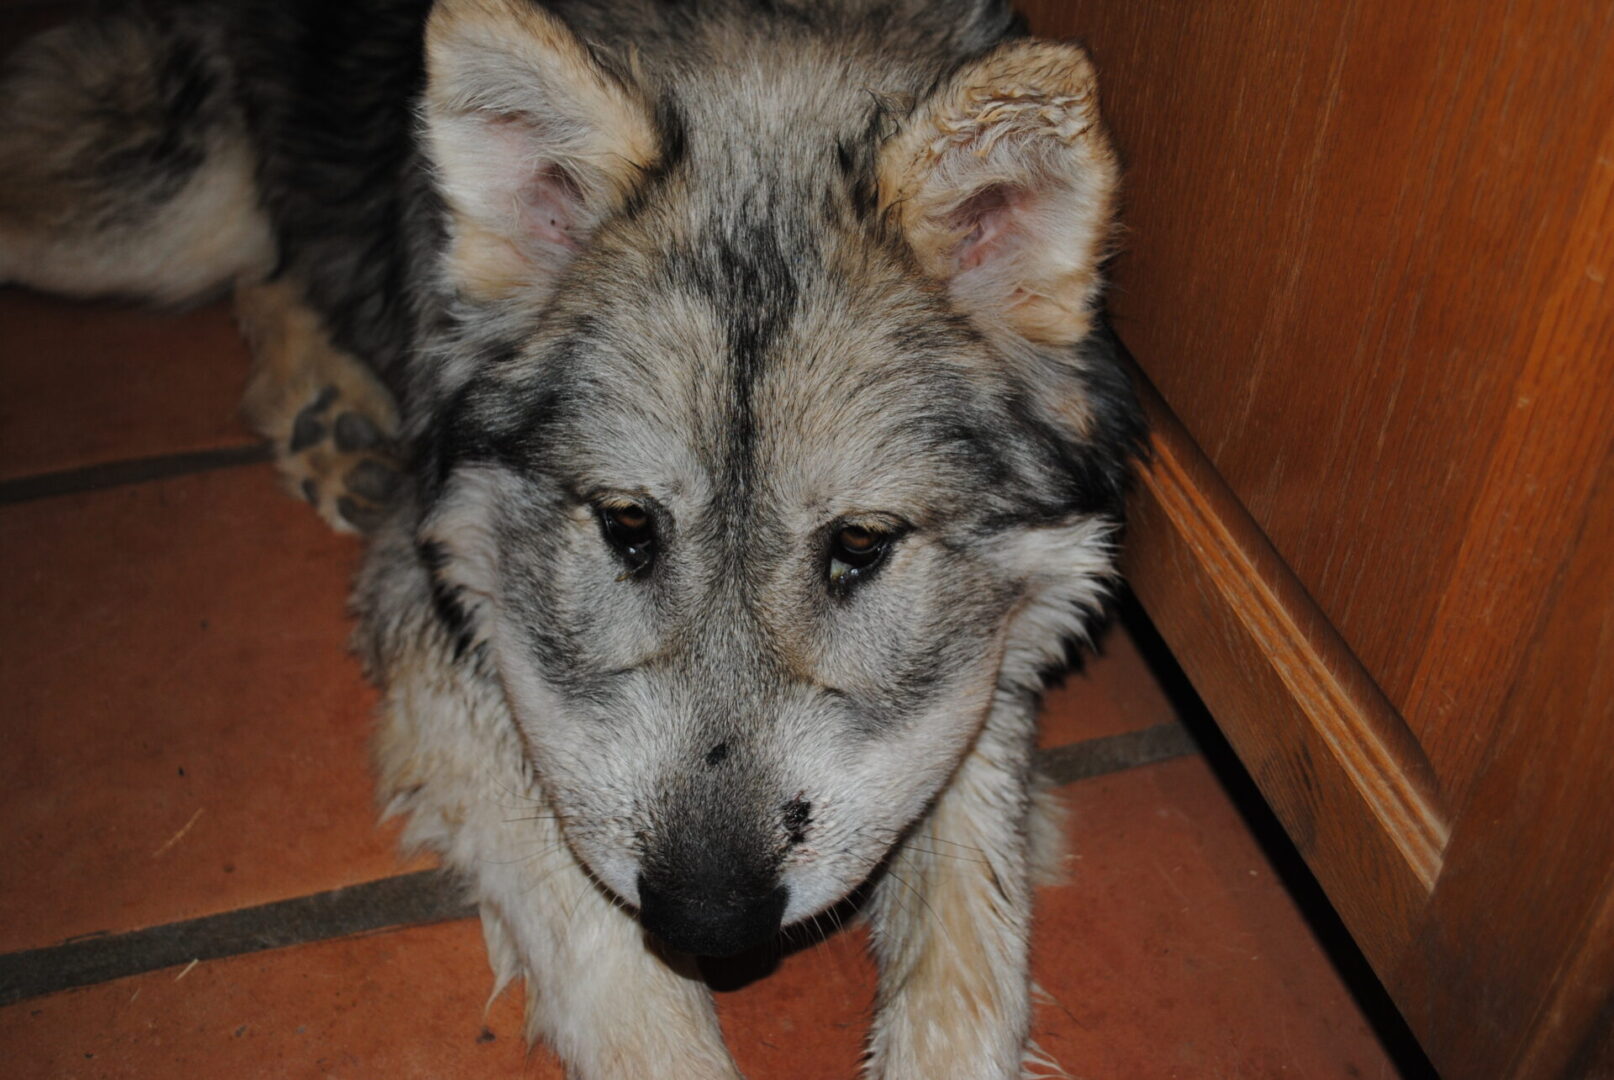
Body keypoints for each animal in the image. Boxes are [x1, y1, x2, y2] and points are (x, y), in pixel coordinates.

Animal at [0, 0, 1142, 1071]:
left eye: (860, 543)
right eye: (627, 523)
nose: (709, 919)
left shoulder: (979, 679)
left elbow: (971, 969)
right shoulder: (444, 621)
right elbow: (624, 984)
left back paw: (328, 416)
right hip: (155, 216)